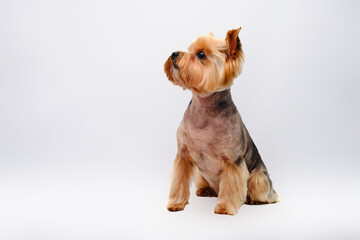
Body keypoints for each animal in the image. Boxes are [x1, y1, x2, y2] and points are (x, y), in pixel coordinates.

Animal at [163, 27, 278, 215]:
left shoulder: (232, 162)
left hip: (258, 177)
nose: (173, 54)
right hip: (202, 176)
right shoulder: (183, 156)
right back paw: (205, 190)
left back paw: (255, 200)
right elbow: (179, 182)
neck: (203, 108)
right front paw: (176, 203)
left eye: (201, 54)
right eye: (189, 49)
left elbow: (231, 186)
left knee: (262, 190)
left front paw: (224, 207)